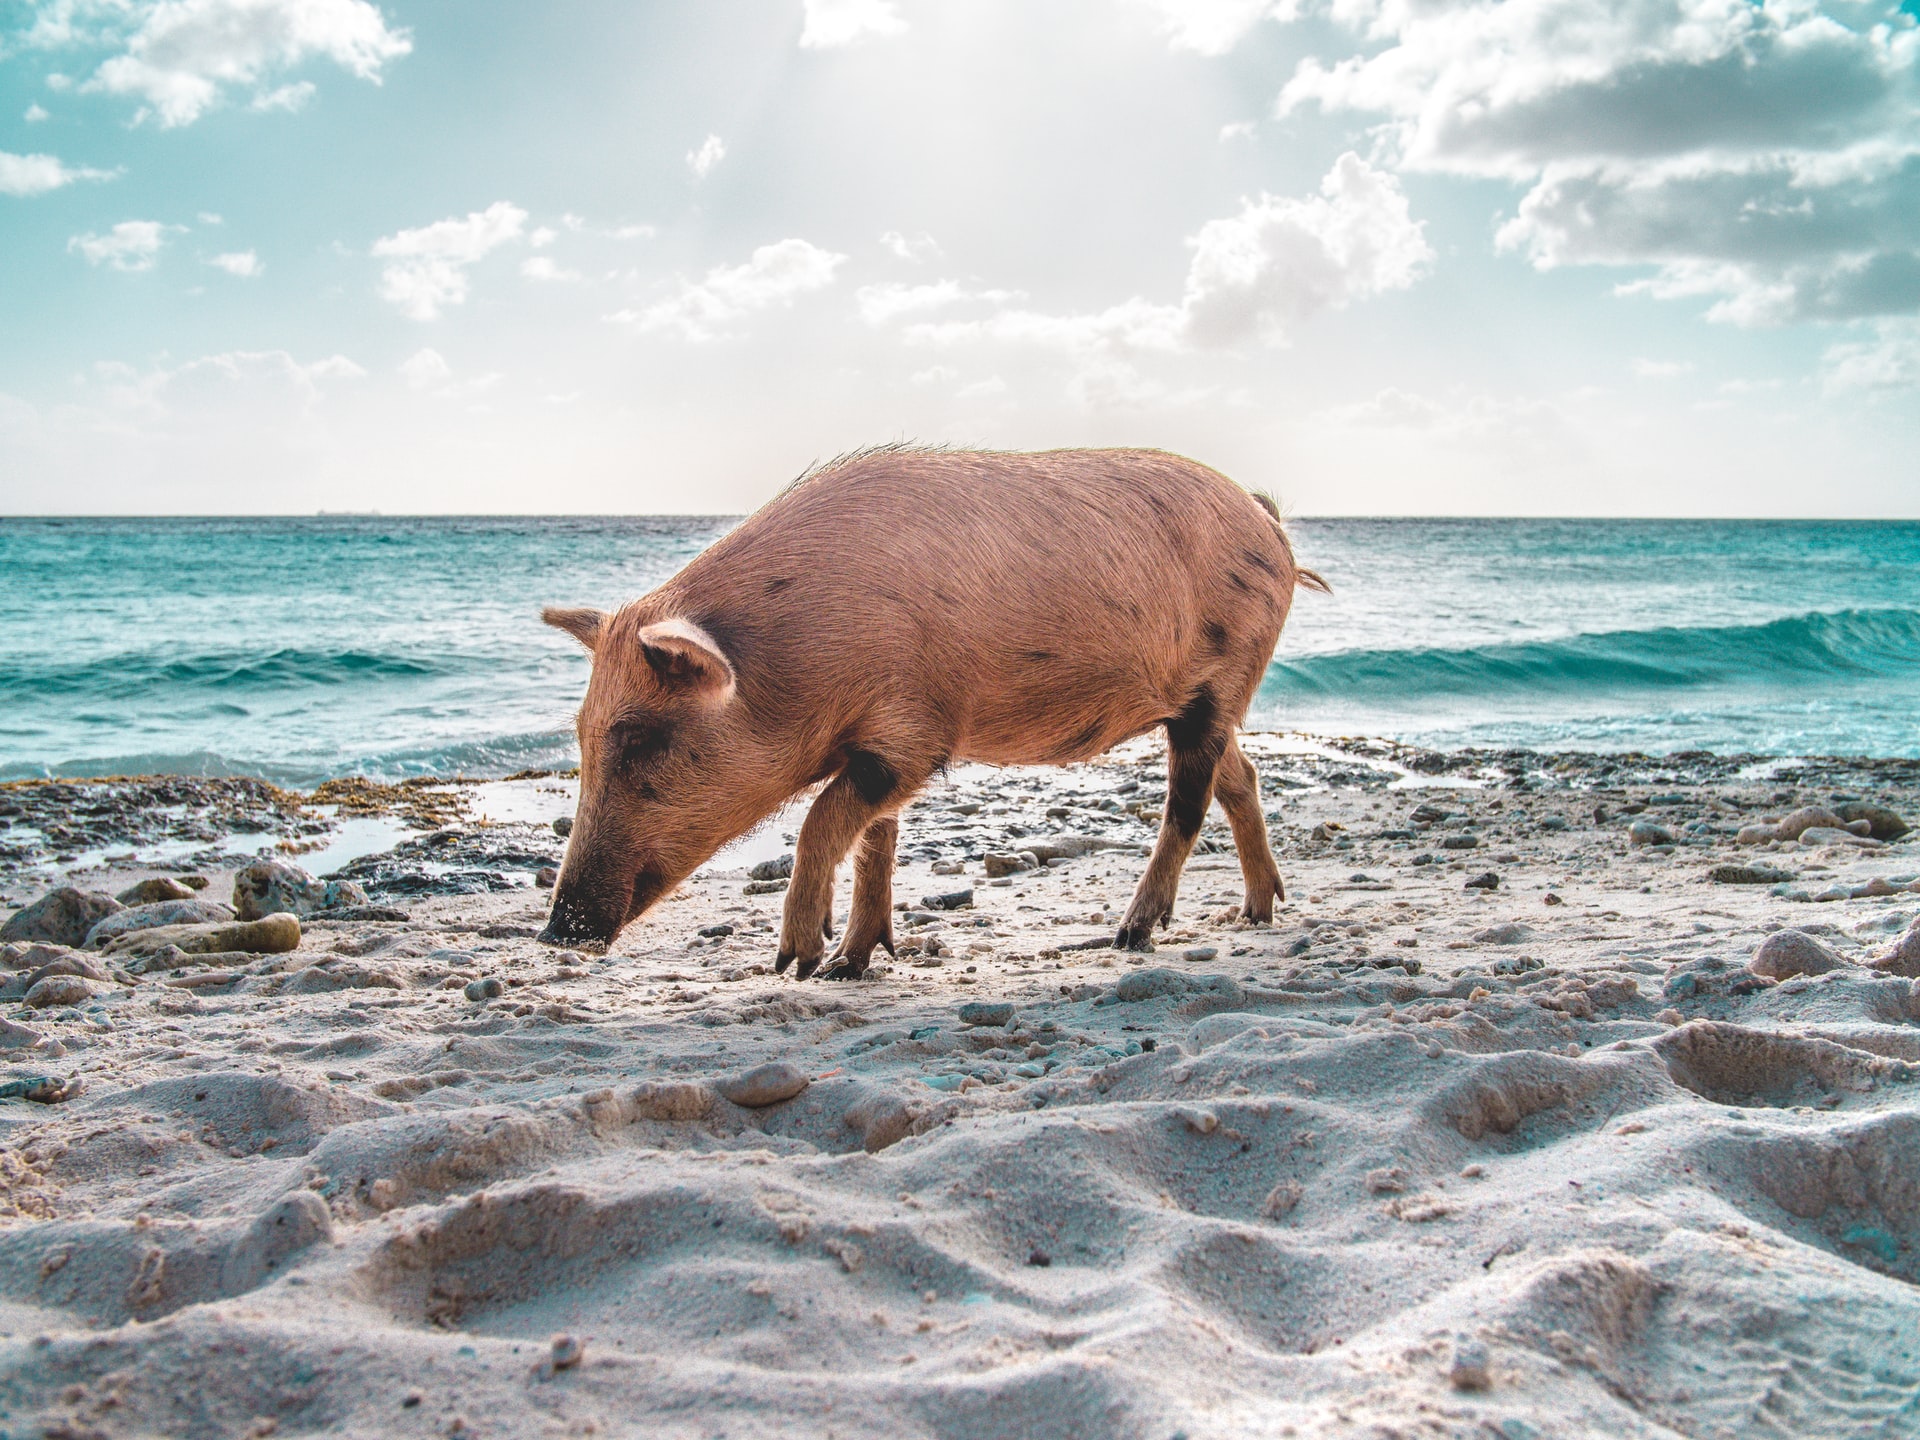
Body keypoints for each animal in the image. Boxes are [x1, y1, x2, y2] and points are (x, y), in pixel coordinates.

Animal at [537, 445, 1320, 975]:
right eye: (581, 738)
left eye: (640, 737)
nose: (556, 931)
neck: (796, 660)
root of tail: (1266, 517)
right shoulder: (880, 746)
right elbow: (873, 837)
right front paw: (848, 967)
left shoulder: (914, 731)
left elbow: (824, 819)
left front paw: (796, 961)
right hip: (1203, 702)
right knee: (1240, 777)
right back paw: (1257, 912)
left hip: (1221, 677)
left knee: (1187, 802)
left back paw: (1133, 933)